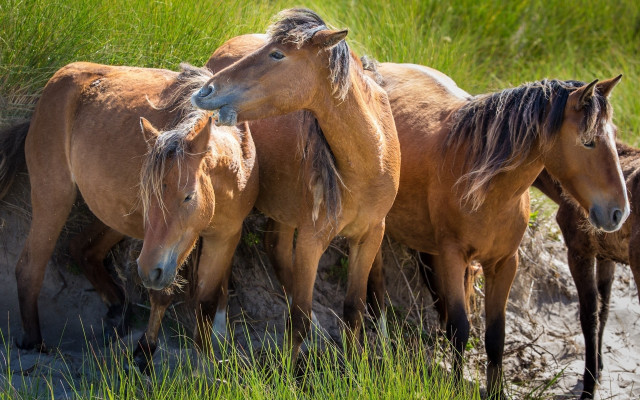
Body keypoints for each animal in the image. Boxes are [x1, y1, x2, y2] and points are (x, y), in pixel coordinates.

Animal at [0, 62, 258, 369]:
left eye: (188, 196)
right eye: (149, 195)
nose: (150, 271)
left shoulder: (225, 238)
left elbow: (205, 300)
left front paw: (205, 358)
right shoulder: (157, 251)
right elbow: (161, 294)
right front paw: (145, 351)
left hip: (115, 218)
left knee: (82, 249)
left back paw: (117, 311)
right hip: (54, 197)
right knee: (30, 267)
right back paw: (35, 343)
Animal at [192, 9, 401, 363]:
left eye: (277, 54)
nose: (206, 90)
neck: (371, 159)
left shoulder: (371, 235)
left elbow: (354, 309)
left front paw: (356, 367)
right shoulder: (310, 240)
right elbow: (299, 317)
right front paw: (290, 370)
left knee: (273, 247)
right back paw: (219, 331)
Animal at [359, 62, 628, 398]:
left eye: (614, 137)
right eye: (588, 140)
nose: (619, 212)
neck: (487, 187)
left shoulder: (504, 263)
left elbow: (495, 335)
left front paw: (496, 390)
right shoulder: (453, 256)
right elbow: (460, 328)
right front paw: (455, 386)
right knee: (377, 283)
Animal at [532, 144, 640, 399]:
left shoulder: (578, 249)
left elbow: (587, 316)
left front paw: (589, 387)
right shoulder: (605, 255)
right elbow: (604, 310)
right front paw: (599, 367)